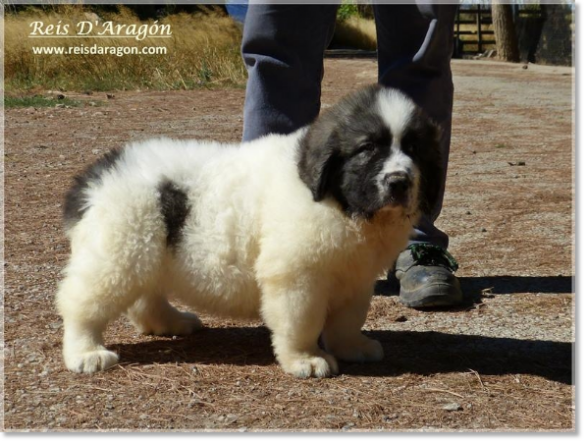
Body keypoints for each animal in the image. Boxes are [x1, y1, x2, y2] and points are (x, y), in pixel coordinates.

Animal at [57, 86, 438, 378]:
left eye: (413, 149)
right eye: (368, 148)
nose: (400, 181)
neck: (338, 202)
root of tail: (96, 175)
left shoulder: (355, 276)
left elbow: (347, 319)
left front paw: (353, 347)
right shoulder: (297, 275)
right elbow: (302, 320)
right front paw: (306, 358)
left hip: (144, 249)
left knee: (145, 297)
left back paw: (170, 322)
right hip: (118, 251)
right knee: (81, 303)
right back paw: (86, 352)